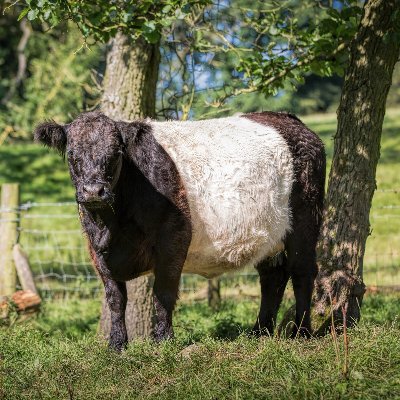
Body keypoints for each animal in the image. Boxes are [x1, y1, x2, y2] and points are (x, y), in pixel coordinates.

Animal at [35, 110, 324, 350]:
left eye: (116, 153)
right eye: (72, 154)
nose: (94, 191)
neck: (110, 226)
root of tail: (291, 121)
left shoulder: (173, 239)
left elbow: (163, 293)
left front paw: (162, 341)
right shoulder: (97, 252)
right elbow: (115, 299)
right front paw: (117, 346)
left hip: (305, 222)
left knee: (302, 272)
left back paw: (301, 332)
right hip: (268, 234)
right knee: (273, 276)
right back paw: (260, 332)